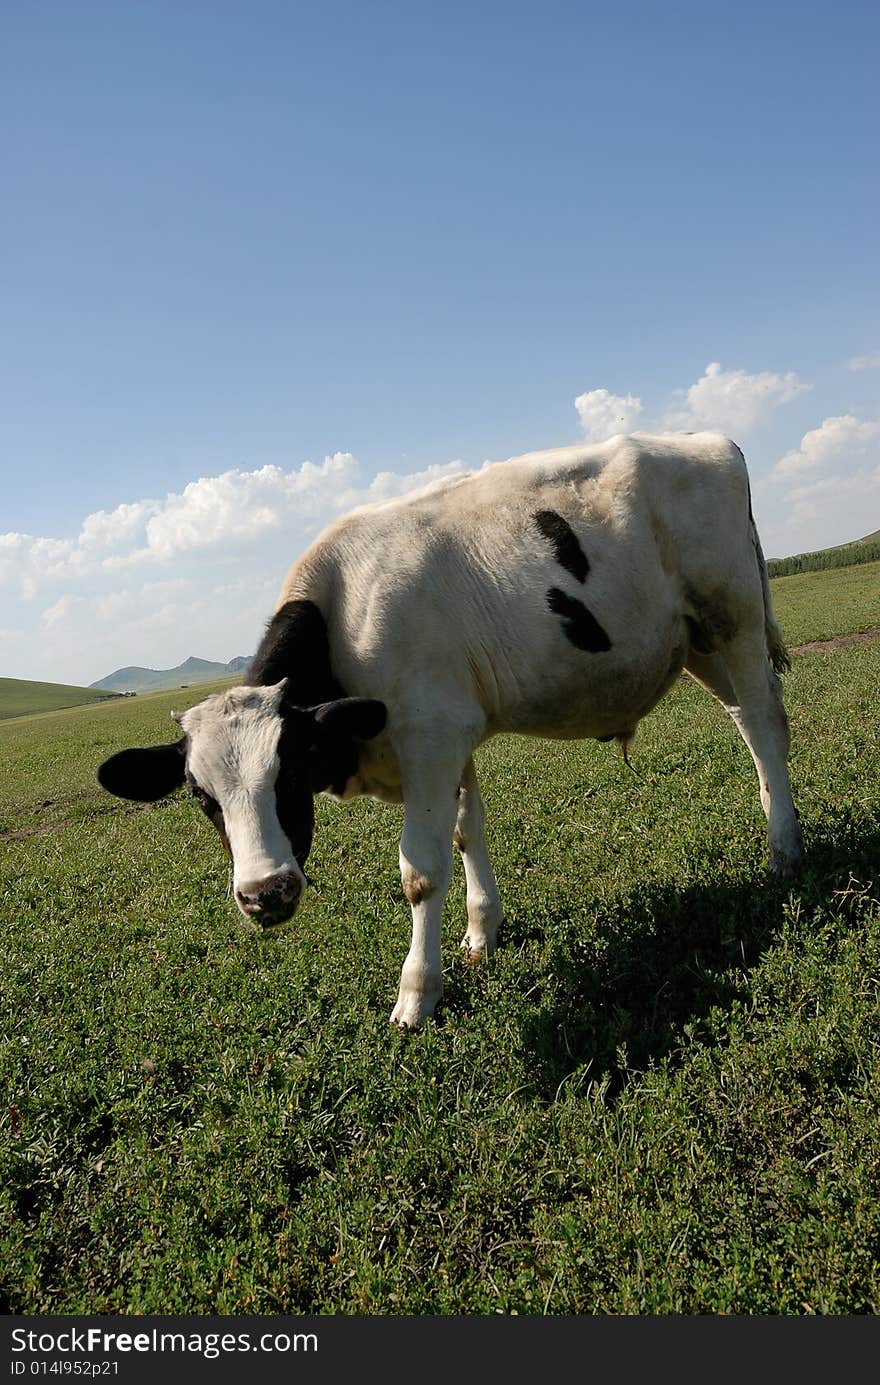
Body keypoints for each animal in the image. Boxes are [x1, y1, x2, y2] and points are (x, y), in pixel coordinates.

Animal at [98, 432, 803, 1030]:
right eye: (201, 796)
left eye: (290, 771)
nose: (263, 891)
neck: (344, 615)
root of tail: (708, 440)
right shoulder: (451, 734)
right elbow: (468, 832)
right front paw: (482, 933)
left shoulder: (431, 735)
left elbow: (422, 869)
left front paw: (417, 993)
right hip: (696, 640)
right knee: (745, 721)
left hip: (734, 615)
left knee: (766, 722)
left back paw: (785, 853)